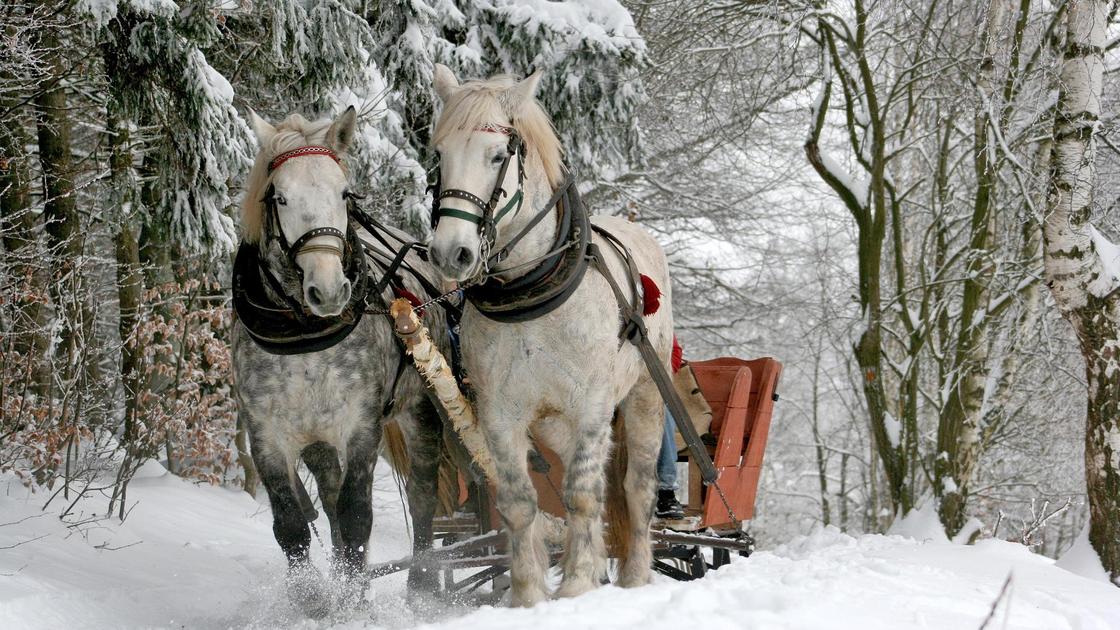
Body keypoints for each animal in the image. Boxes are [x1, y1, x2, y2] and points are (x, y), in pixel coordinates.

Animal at [425, 67, 672, 605]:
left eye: (498, 156)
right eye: (439, 155)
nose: (451, 253)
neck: (531, 292)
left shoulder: (594, 405)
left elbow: (582, 494)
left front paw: (577, 583)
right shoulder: (500, 413)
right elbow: (520, 502)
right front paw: (528, 594)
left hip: (644, 395)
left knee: (635, 487)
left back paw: (635, 575)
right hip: (555, 422)